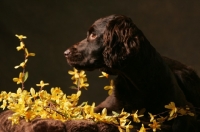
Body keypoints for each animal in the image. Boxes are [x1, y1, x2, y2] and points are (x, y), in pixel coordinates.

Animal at [64, 14, 200, 131]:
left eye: (93, 35)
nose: (65, 53)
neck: (137, 85)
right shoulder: (104, 107)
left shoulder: (185, 109)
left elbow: (179, 123)